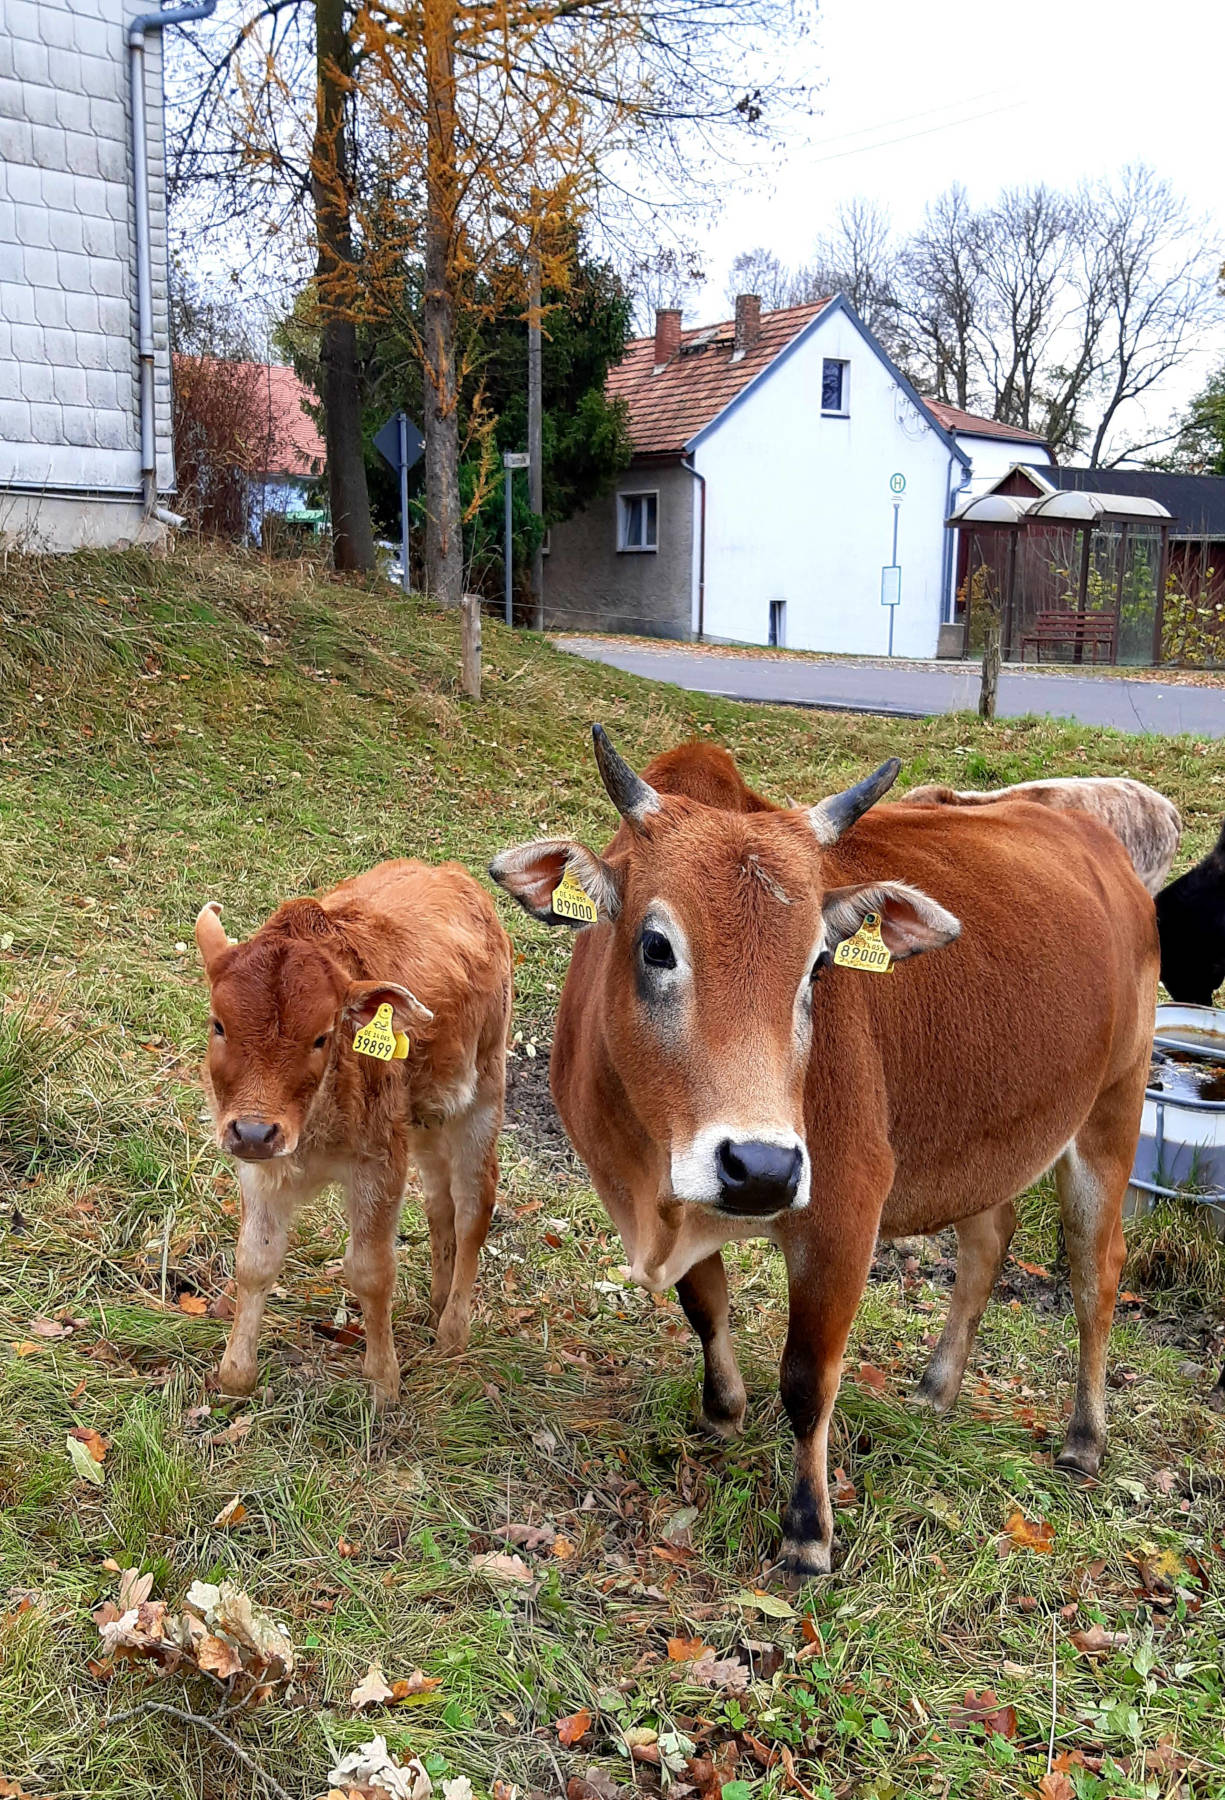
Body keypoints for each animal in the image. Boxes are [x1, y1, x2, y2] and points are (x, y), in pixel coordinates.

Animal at [195, 860, 513, 1405]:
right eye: (219, 1024)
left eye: (322, 1036)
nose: (255, 1131)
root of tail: (453, 874)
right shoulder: (258, 1167)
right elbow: (254, 1259)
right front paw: (236, 1375)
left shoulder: (379, 1162)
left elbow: (371, 1269)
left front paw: (383, 1381)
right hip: (424, 1119)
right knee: (440, 1202)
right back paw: (436, 1301)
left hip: (484, 1094)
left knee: (475, 1203)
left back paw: (452, 1331)